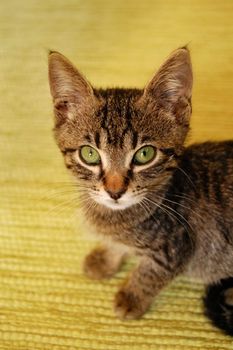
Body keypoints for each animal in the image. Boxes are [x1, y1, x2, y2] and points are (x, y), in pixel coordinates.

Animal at [48, 47, 233, 334]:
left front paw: (131, 296)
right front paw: (106, 256)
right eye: (89, 154)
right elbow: (118, 247)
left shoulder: (177, 246)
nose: (114, 191)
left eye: (144, 154)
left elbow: (150, 272)